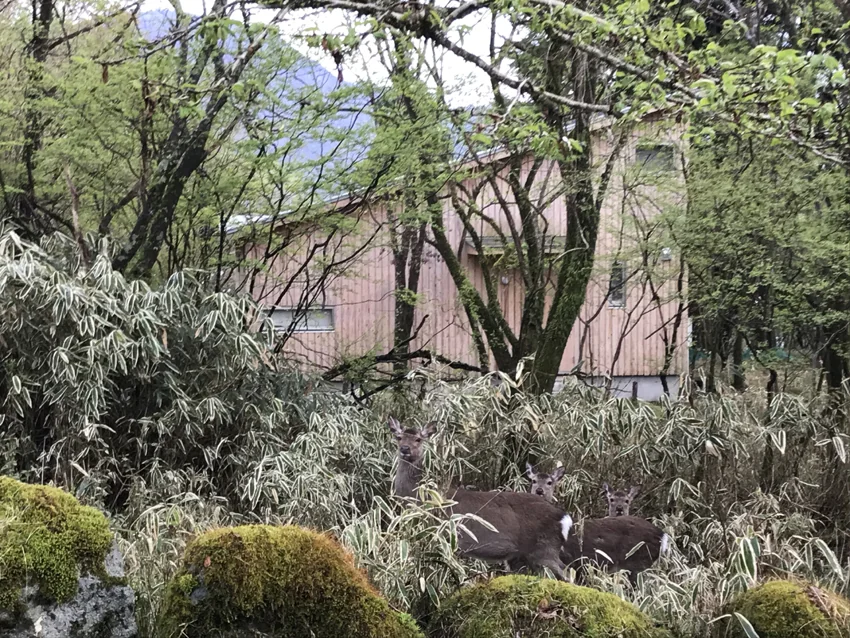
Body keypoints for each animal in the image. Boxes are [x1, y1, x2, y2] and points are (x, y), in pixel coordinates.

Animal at [388, 417, 573, 580]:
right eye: (398, 437)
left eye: (418, 439)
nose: (405, 448)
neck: (421, 497)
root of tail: (564, 517)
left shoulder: (443, 536)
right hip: (524, 556)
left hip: (544, 548)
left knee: (566, 574)